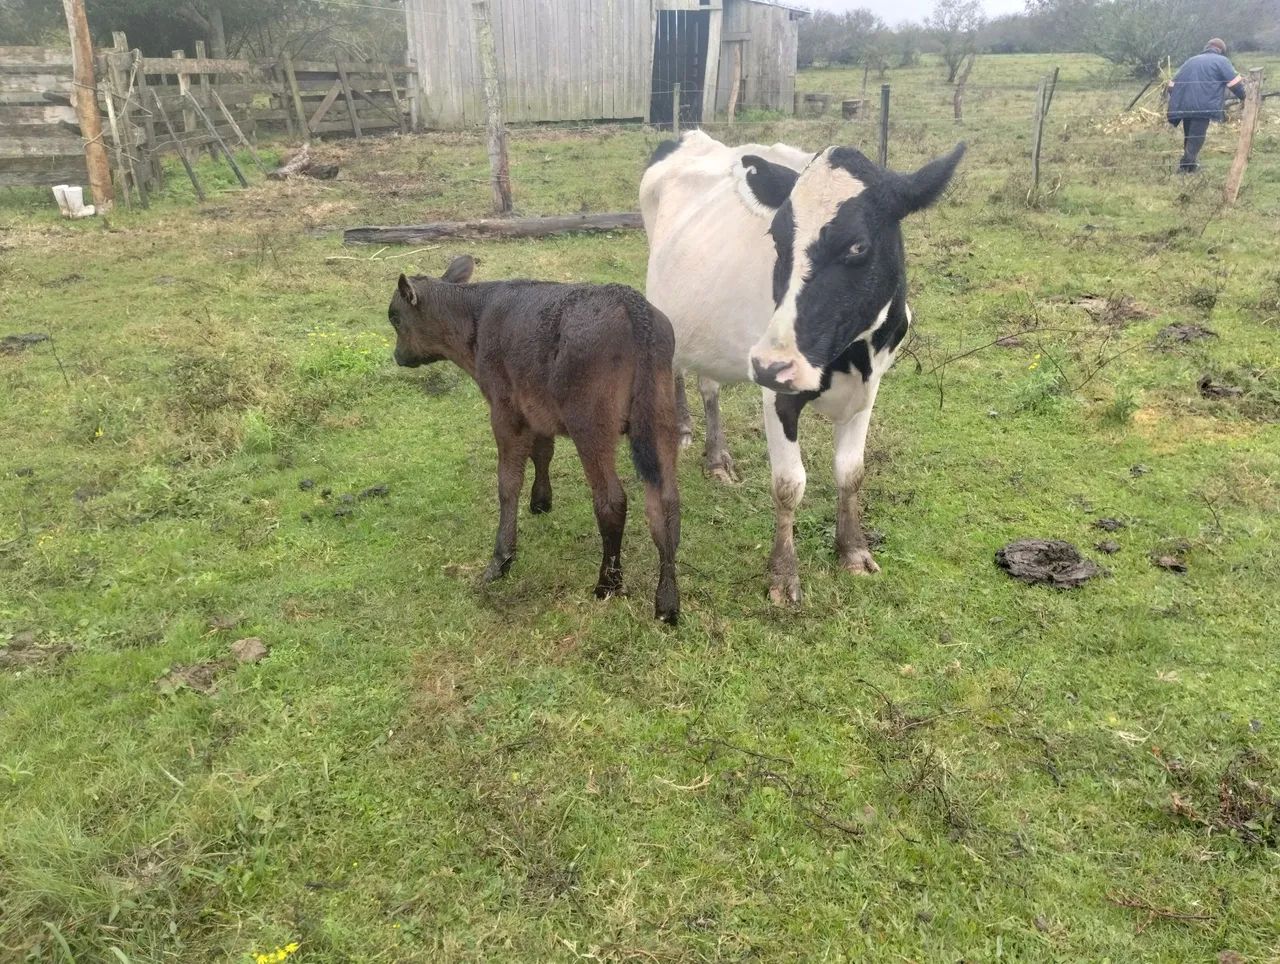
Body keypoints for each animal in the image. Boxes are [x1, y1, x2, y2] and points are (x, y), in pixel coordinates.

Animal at [388, 256, 682, 624]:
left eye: (394, 317)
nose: (398, 356)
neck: (476, 317)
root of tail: (631, 303)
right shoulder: (537, 406)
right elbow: (543, 452)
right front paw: (541, 501)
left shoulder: (506, 408)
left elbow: (507, 482)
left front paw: (501, 559)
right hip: (661, 413)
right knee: (666, 503)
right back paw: (667, 601)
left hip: (591, 420)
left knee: (612, 500)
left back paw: (607, 584)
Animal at [641, 131, 964, 605]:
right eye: (776, 239)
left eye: (857, 246)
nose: (768, 363)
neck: (850, 356)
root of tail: (693, 135)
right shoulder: (776, 391)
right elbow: (789, 484)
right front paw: (782, 575)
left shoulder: (869, 388)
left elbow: (851, 472)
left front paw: (854, 550)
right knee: (676, 365)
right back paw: (681, 429)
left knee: (709, 384)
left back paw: (717, 459)